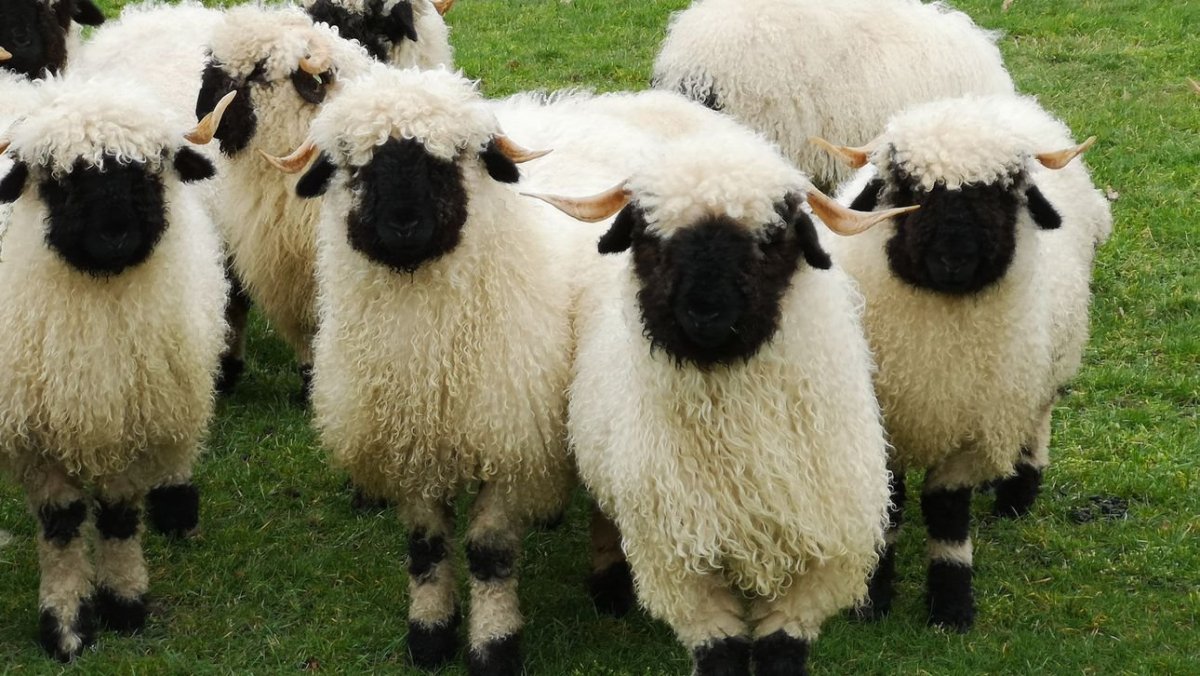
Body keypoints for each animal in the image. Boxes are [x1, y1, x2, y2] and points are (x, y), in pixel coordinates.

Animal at [0, 77, 228, 661]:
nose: (115, 235)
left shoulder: (132, 421)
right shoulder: (40, 440)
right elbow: (62, 530)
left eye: (149, 170)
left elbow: (120, 518)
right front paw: (66, 625)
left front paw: (125, 604)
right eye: (59, 179)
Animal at [262, 66, 579, 675]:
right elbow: (426, 548)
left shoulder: (506, 436)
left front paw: (493, 644)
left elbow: (488, 551)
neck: (425, 355)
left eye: (449, 158)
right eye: (353, 164)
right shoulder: (406, 446)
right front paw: (430, 632)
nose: (403, 222)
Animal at [525, 127, 908, 676]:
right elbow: (720, 655)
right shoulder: (685, 568)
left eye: (772, 237)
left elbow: (780, 654)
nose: (705, 313)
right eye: (649, 235)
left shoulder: (818, 564)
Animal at [810, 93, 1112, 631]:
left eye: (1001, 193)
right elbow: (891, 506)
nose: (954, 259)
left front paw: (951, 606)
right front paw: (873, 599)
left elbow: (948, 513)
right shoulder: (883, 421)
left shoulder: (971, 426)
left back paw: (1018, 492)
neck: (937, 350)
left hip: (1042, 368)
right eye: (911, 190)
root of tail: (993, 101)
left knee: (1038, 421)